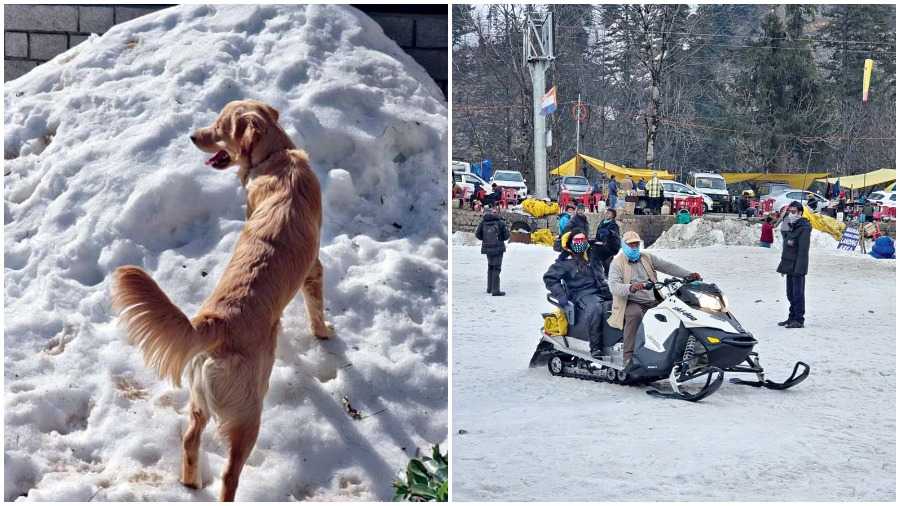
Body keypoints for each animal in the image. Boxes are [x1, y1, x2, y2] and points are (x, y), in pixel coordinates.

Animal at [111, 100, 334, 502]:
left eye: (218, 127)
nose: (192, 136)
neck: (276, 159)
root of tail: (214, 323)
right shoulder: (314, 267)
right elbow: (316, 308)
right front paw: (323, 333)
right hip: (248, 413)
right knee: (230, 474)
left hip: (200, 397)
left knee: (189, 438)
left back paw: (190, 481)